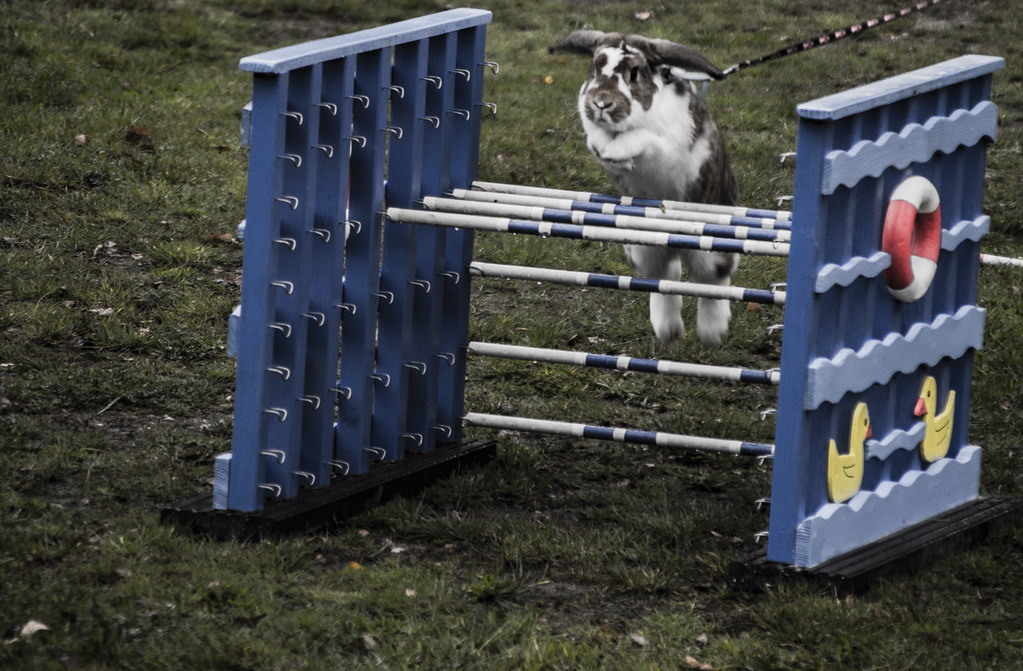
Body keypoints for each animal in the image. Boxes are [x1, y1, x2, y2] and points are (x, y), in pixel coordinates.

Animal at [552, 31, 736, 345]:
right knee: (664, 277)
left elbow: (646, 141)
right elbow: (600, 139)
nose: (601, 103)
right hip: (642, 245)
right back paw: (668, 331)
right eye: (595, 68)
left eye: (634, 73)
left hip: (710, 246)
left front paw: (616, 150)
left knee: (712, 281)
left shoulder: (669, 150)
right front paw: (603, 148)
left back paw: (712, 333)